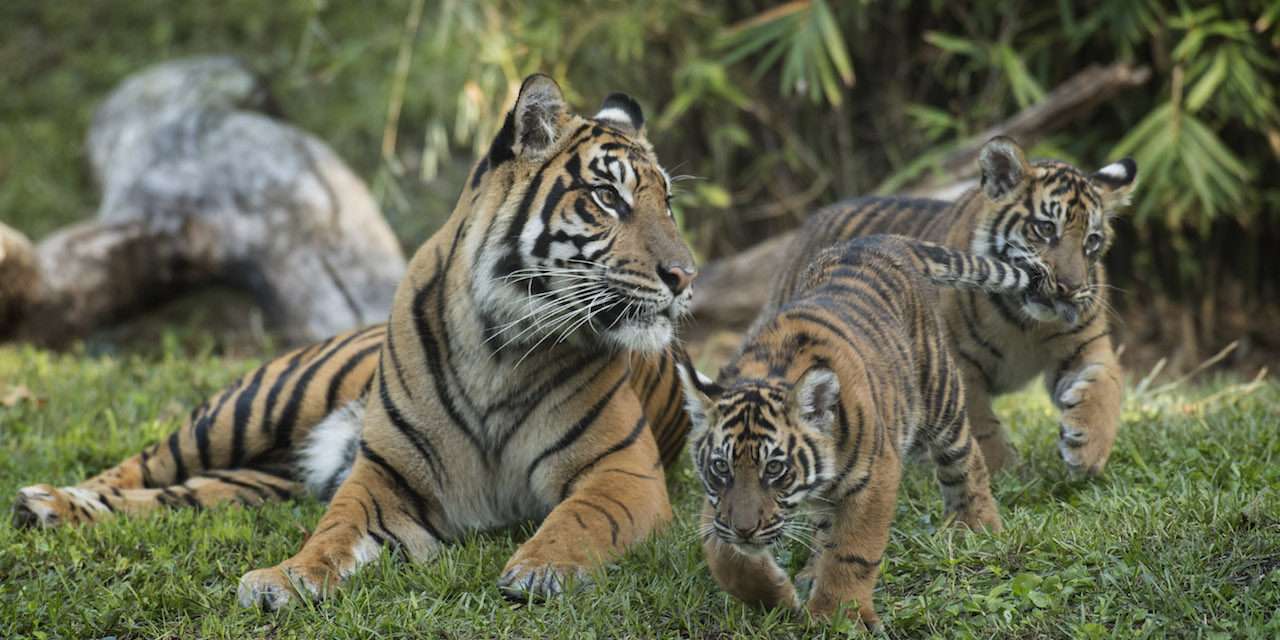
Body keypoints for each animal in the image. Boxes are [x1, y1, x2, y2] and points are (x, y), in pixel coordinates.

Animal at [10, 74, 696, 609]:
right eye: (607, 196)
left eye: (667, 202)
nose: (686, 275)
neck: (502, 346)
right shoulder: (386, 478)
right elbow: (333, 532)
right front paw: (285, 579)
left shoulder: (621, 473)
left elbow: (580, 520)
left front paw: (541, 569)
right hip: (249, 408)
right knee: (143, 465)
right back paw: (46, 502)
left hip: (257, 482)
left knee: (179, 496)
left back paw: (52, 509)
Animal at [680, 236, 1039, 629]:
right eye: (721, 467)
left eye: (774, 468)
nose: (744, 529)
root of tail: (881, 240)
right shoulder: (717, 502)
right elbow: (725, 558)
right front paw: (774, 595)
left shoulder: (875, 478)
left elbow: (852, 552)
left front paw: (837, 616)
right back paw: (810, 571)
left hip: (939, 394)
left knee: (965, 458)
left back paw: (977, 526)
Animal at [768, 136, 1141, 476]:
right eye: (1046, 228)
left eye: (1091, 241)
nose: (1070, 288)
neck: (1026, 322)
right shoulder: (955, 362)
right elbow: (979, 422)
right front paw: (1003, 471)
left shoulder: (1085, 346)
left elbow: (1106, 387)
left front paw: (1087, 448)